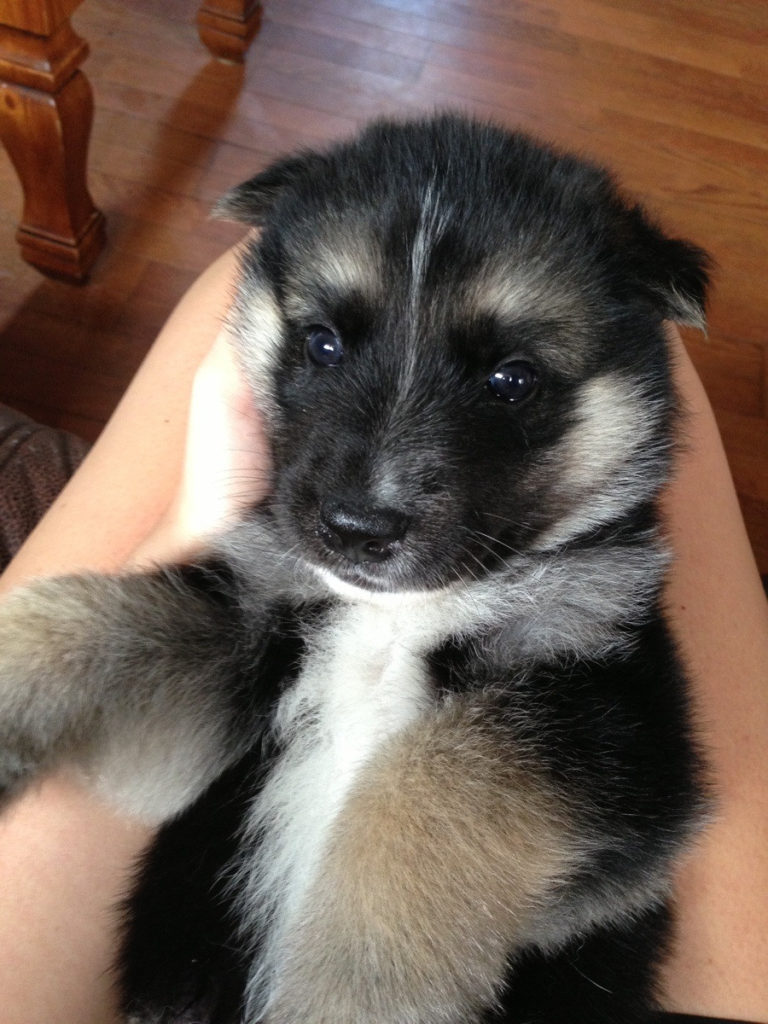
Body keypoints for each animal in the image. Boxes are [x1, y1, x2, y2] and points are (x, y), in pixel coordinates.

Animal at [0, 116, 708, 1019]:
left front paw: (359, 985)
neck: (392, 616)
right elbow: (109, 622)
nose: (358, 528)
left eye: (511, 380)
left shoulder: (613, 732)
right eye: (322, 344)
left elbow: (435, 782)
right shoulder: (241, 658)